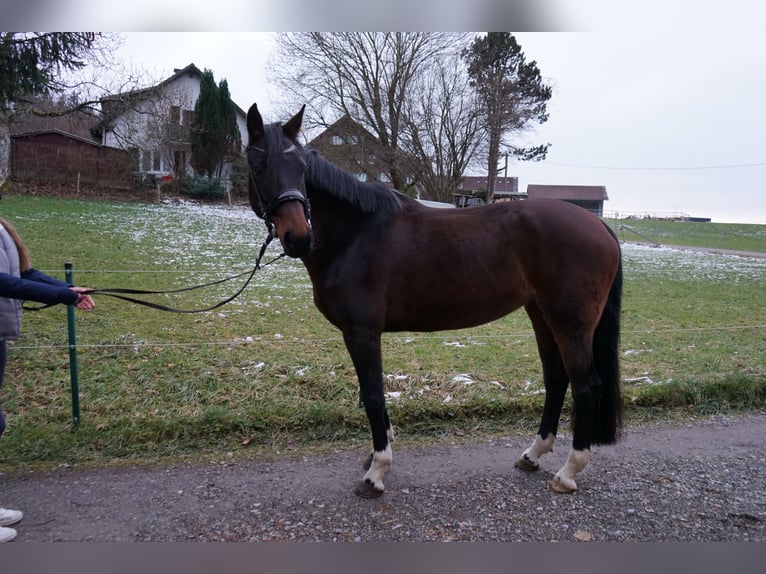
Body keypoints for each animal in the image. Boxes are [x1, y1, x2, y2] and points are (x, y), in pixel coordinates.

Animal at [246, 104, 624, 500]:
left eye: (302, 169)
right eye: (258, 166)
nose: (298, 238)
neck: (356, 232)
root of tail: (600, 226)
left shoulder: (361, 331)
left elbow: (373, 394)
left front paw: (376, 472)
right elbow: (373, 393)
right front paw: (376, 456)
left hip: (570, 323)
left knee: (585, 385)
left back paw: (568, 472)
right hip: (542, 316)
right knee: (556, 379)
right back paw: (532, 455)